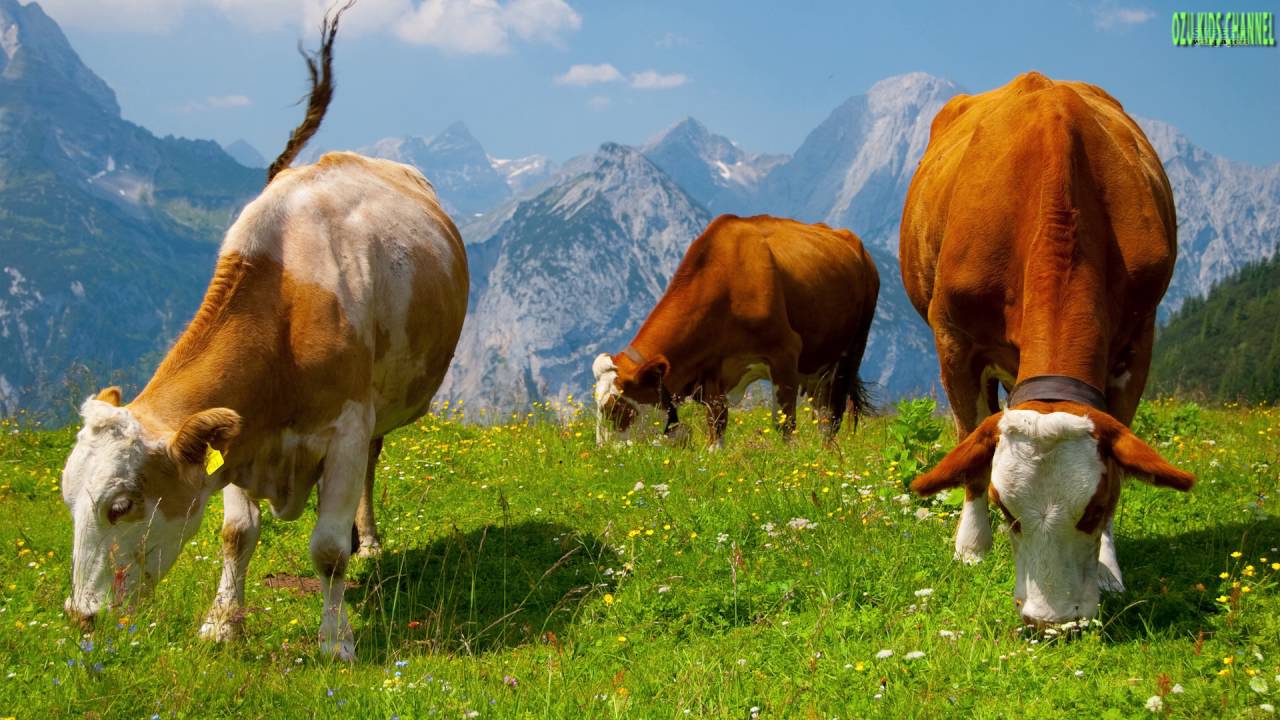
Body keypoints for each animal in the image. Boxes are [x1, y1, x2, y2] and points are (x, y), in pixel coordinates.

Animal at [60, 6, 469, 661]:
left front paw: (335, 640)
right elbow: (235, 533)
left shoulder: (346, 428)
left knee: (371, 468)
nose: (83, 616)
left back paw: (370, 540)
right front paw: (222, 623)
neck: (285, 317)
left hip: (378, 409)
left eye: (120, 505)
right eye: (68, 497)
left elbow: (327, 550)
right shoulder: (238, 437)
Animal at [593, 214, 879, 448]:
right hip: (816, 367)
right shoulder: (711, 370)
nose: (604, 452)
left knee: (832, 417)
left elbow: (785, 424)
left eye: (614, 409)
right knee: (822, 413)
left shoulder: (785, 353)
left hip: (851, 353)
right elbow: (716, 424)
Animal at [899, 71, 1195, 626]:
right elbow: (971, 443)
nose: (1052, 619)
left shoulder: (1138, 341)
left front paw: (1108, 568)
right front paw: (973, 546)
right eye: (1006, 509)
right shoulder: (953, 339)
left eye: (1095, 509)